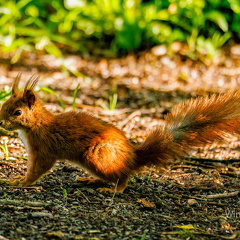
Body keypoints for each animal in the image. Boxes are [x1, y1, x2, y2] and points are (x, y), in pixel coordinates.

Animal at [0, 74, 240, 192]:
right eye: (4, 105)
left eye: (18, 112)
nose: (1, 122)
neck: (36, 125)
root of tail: (132, 157)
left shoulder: (43, 149)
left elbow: (38, 169)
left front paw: (21, 182)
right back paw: (92, 180)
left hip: (98, 156)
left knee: (123, 177)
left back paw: (114, 190)